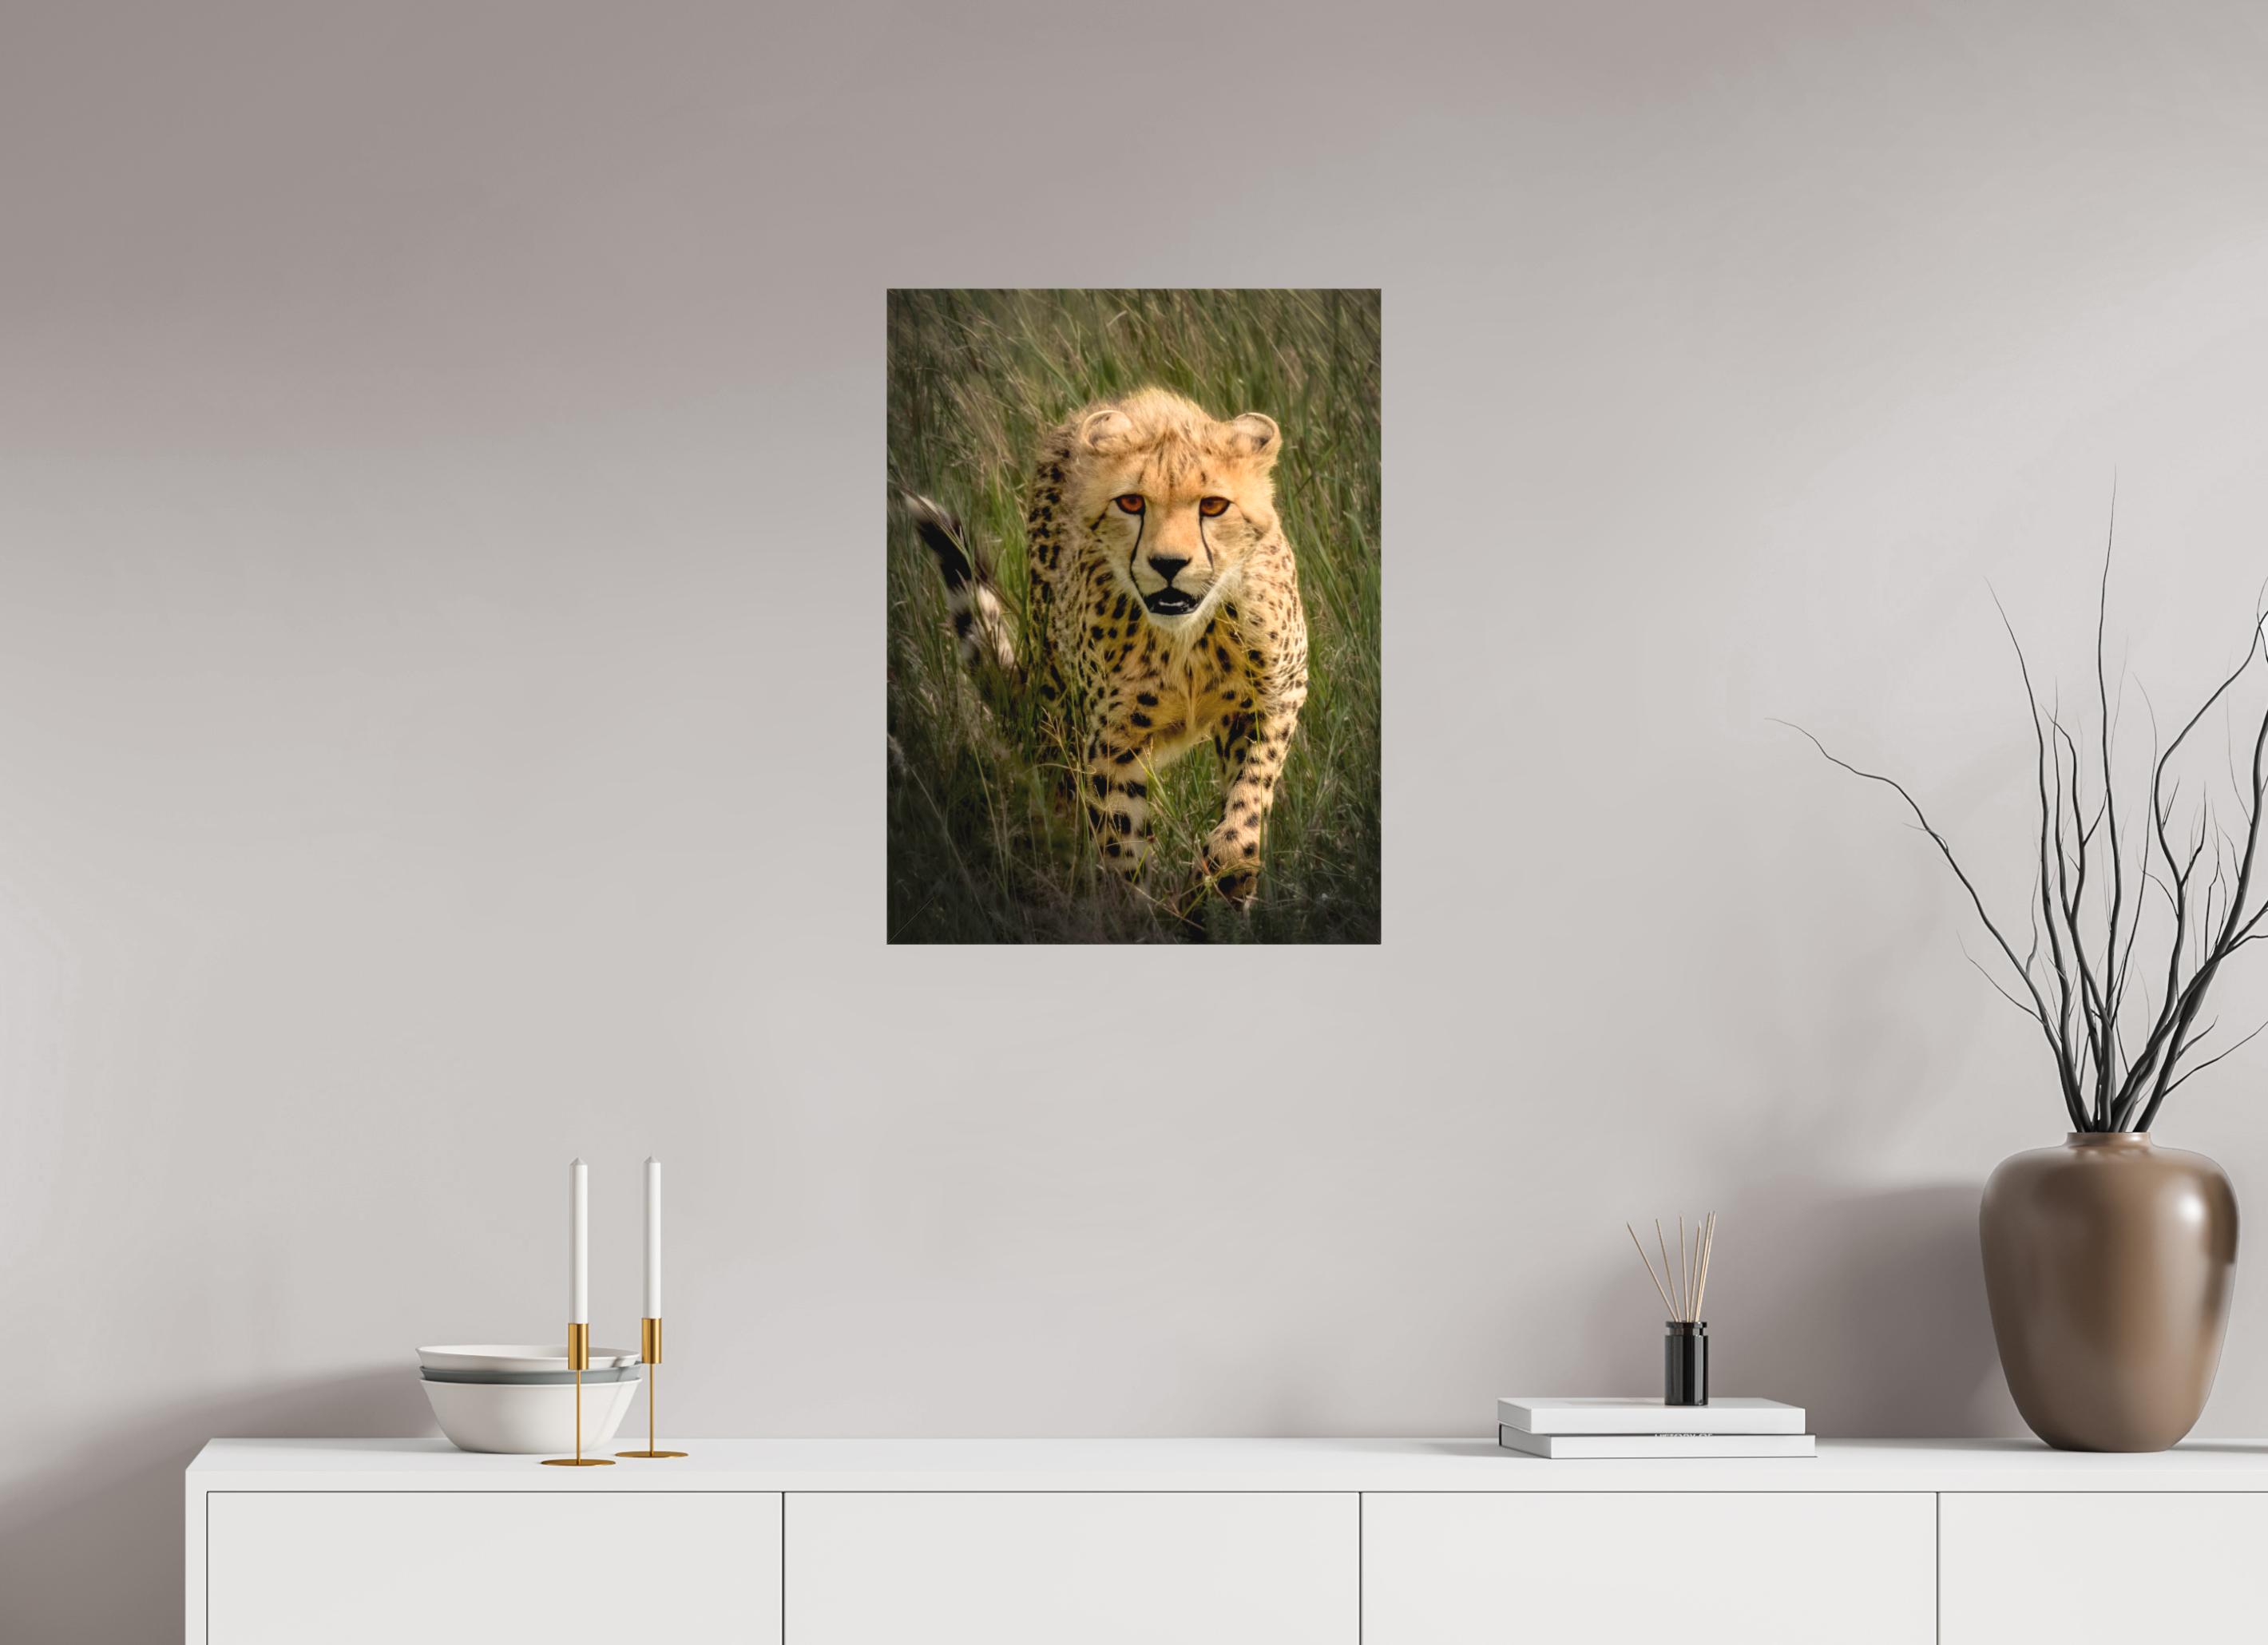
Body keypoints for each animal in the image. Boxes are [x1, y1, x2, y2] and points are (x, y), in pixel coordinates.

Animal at [908, 387, 1309, 903]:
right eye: (1132, 503)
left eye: (1214, 506)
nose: (1168, 564)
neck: (1185, 637)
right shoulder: (1112, 738)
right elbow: (1121, 839)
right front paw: (1133, 909)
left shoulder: (1275, 696)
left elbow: (1248, 801)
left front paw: (1222, 879)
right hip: (1059, 707)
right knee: (1060, 790)